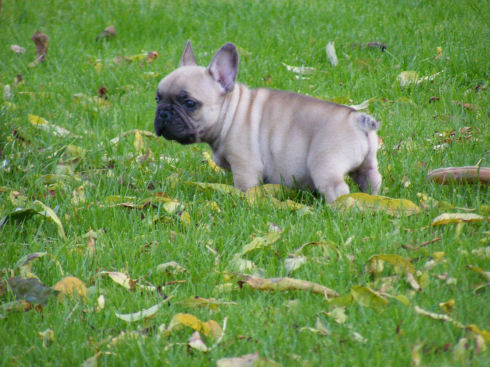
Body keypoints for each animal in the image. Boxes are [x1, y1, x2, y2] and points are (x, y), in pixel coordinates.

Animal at [155, 43, 380, 204]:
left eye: (189, 103)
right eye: (157, 99)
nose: (163, 113)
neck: (230, 112)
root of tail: (357, 120)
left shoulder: (244, 167)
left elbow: (245, 187)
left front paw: (243, 201)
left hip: (325, 165)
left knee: (337, 189)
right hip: (367, 165)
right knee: (372, 180)